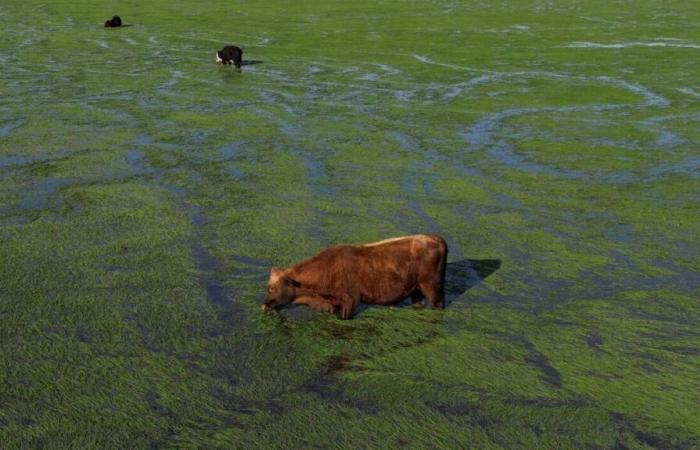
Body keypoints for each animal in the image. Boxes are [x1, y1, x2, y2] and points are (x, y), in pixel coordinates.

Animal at [260, 234, 446, 318]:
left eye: (272, 288)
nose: (264, 305)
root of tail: (435, 238)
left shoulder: (350, 301)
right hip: (417, 291)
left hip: (433, 290)